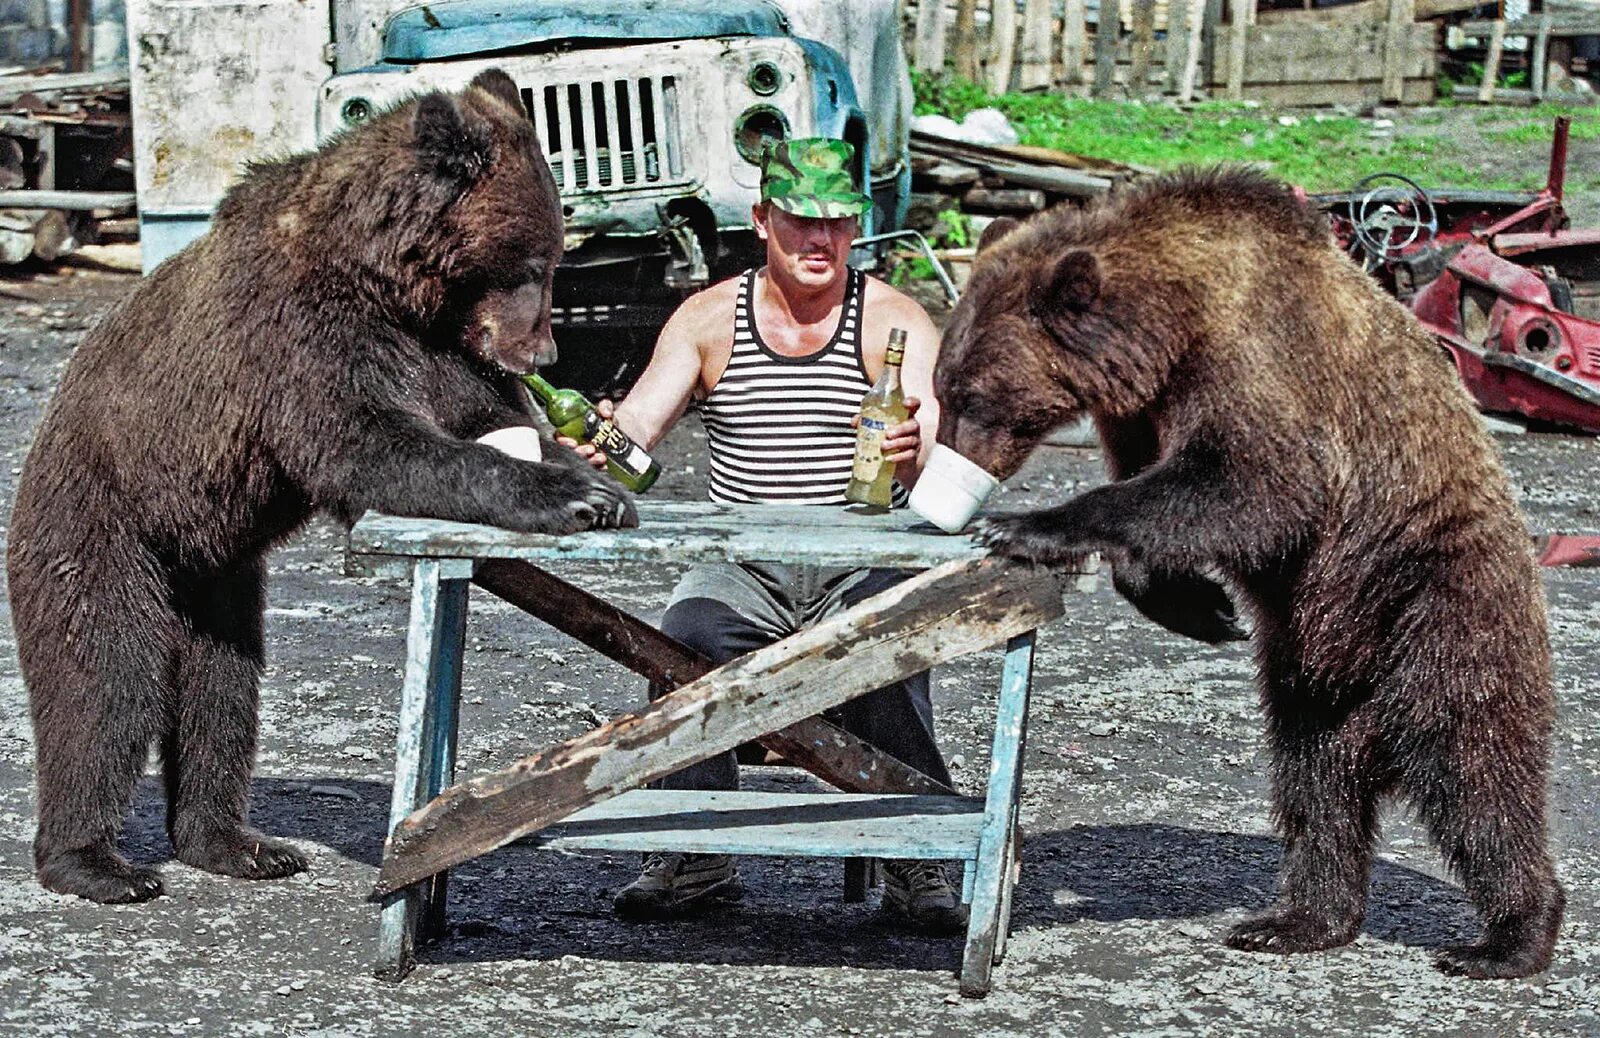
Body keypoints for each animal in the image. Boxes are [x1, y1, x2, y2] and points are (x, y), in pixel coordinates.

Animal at [6, 68, 633, 902]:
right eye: (536, 264)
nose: (545, 350)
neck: (386, 281)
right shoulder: (298, 336)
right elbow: (369, 445)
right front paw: (576, 495)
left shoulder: (436, 350)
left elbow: (480, 415)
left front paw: (593, 471)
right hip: (101, 525)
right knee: (106, 682)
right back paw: (97, 864)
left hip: (216, 577)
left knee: (223, 693)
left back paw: (239, 844)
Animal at [934, 166, 1561, 978]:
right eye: (945, 384)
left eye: (969, 393)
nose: (943, 474)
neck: (1170, 328)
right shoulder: (1142, 409)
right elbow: (1165, 496)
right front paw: (1201, 605)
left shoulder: (1257, 358)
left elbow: (1259, 486)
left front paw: (1024, 525)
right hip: (1311, 670)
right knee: (1315, 782)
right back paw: (1296, 918)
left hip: (1433, 598)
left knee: (1472, 761)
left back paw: (1509, 937)